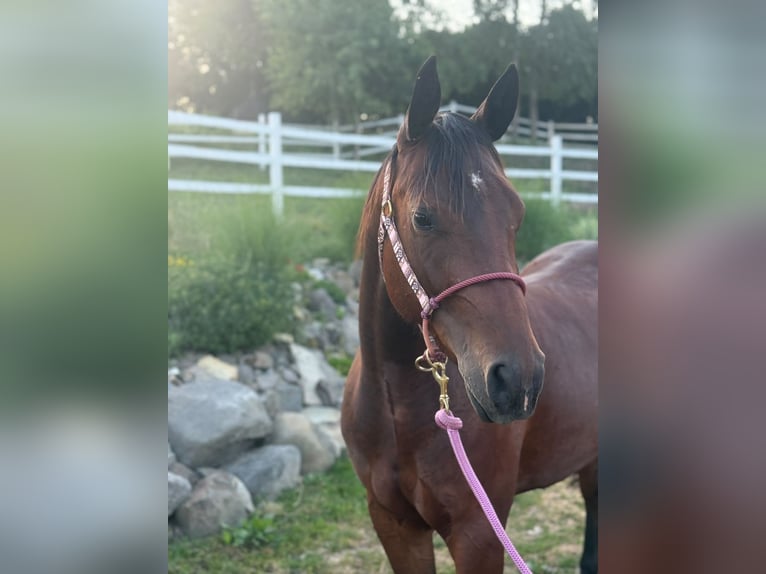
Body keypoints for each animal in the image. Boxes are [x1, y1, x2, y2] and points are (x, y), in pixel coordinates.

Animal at [340, 56, 598, 574]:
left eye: (516, 213)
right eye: (422, 217)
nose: (517, 379)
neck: (397, 409)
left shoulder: (478, 533)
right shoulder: (394, 526)